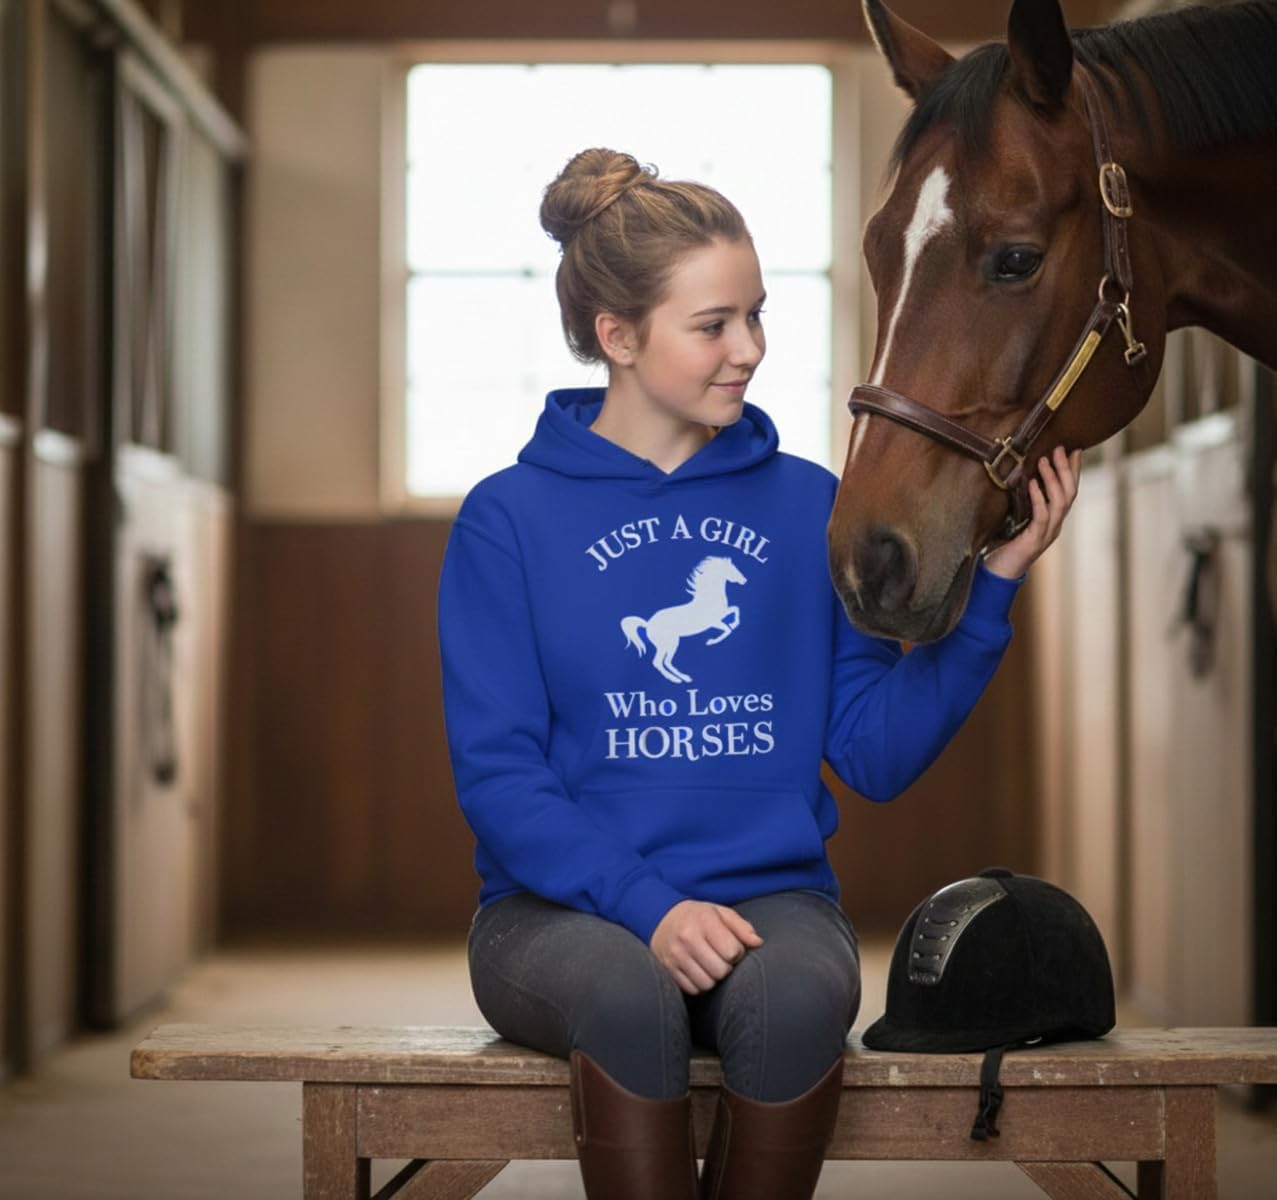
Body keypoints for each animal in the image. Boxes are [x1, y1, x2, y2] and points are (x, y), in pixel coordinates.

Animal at [621, 555, 747, 684]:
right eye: (732, 570)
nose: (744, 580)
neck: (708, 599)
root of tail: (648, 624)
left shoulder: (720, 616)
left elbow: (735, 610)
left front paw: (733, 623)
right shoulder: (714, 622)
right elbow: (727, 628)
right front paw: (711, 641)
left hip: (671, 643)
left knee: (666, 662)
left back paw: (683, 677)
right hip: (668, 644)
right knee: (658, 662)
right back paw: (676, 679)